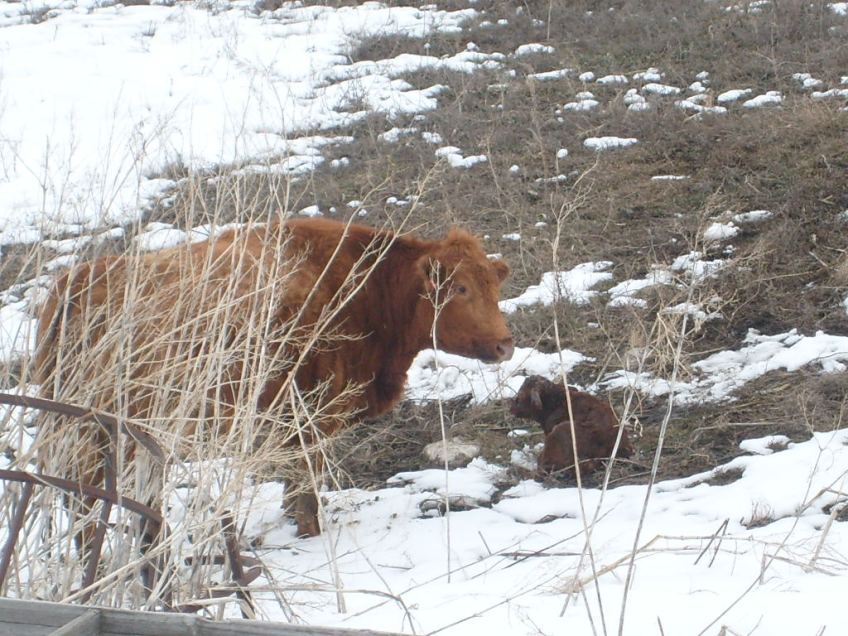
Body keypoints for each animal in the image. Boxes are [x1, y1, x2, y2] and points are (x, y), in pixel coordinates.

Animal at [35, 217, 514, 538]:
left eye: (494, 287)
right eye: (460, 289)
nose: (506, 344)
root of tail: (76, 280)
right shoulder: (309, 416)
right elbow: (307, 484)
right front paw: (310, 530)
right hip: (95, 433)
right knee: (83, 505)